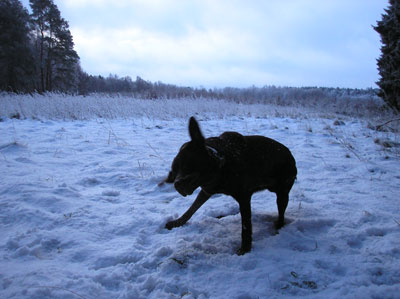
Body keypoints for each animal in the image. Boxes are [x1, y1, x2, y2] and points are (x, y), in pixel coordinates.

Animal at [163, 117, 296, 255]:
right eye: (174, 170)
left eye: (188, 165)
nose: (177, 184)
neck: (221, 164)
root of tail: (290, 155)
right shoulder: (207, 190)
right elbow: (192, 208)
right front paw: (178, 222)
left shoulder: (244, 197)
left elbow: (246, 227)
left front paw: (245, 249)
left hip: (283, 192)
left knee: (281, 213)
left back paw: (278, 226)